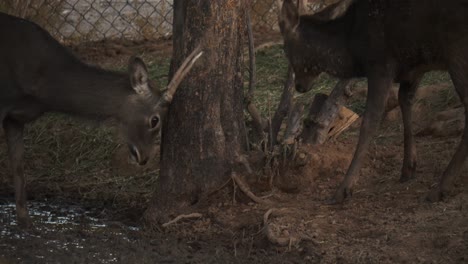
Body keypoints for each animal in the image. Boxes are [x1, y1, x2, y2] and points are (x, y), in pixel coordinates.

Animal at [0, 11, 204, 227]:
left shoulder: (15, 119)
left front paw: (26, 223)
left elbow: (18, 167)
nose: (144, 157)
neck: (42, 87)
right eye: (154, 120)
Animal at [280, 0, 468, 202]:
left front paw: (344, 189)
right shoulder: (413, 67)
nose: (299, 86)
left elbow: (369, 123)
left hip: (457, 51)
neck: (353, 48)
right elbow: (405, 101)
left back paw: (441, 187)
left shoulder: (380, 65)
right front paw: (408, 168)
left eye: (286, 49)